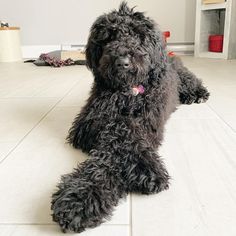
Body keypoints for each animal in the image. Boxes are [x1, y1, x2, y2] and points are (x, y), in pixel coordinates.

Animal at [50, 1, 209, 233]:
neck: (127, 93)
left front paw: (145, 169)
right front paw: (80, 199)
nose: (123, 61)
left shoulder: (148, 123)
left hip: (184, 77)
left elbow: (123, 139)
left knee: (193, 81)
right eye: (108, 36)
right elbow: (115, 142)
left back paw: (197, 94)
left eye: (138, 35)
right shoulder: (88, 124)